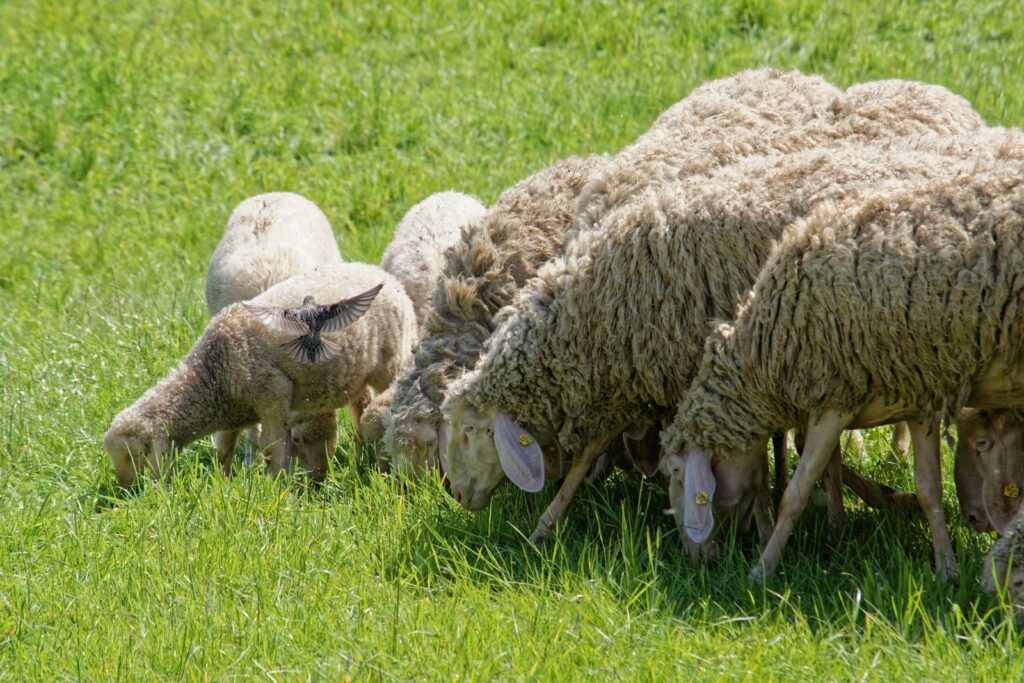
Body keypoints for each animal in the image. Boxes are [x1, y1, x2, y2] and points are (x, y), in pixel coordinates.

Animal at [104, 263, 416, 487]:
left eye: (135, 455)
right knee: (360, 408)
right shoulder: (236, 410)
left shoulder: (273, 398)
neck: (213, 375)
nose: (128, 493)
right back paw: (362, 456)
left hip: (391, 360)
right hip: (355, 377)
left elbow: (271, 448)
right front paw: (225, 483)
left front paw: (277, 488)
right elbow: (224, 447)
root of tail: (383, 275)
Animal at [440, 143, 984, 547]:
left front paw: (755, 526)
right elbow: (588, 454)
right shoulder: (637, 375)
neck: (596, 312)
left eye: (470, 431)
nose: (456, 494)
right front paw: (546, 524)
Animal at [669, 164, 1024, 582]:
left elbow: (796, 494)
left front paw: (762, 570)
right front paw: (946, 570)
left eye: (676, 474)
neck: (765, 356)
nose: (691, 557)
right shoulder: (919, 395)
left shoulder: (833, 400)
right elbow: (928, 491)